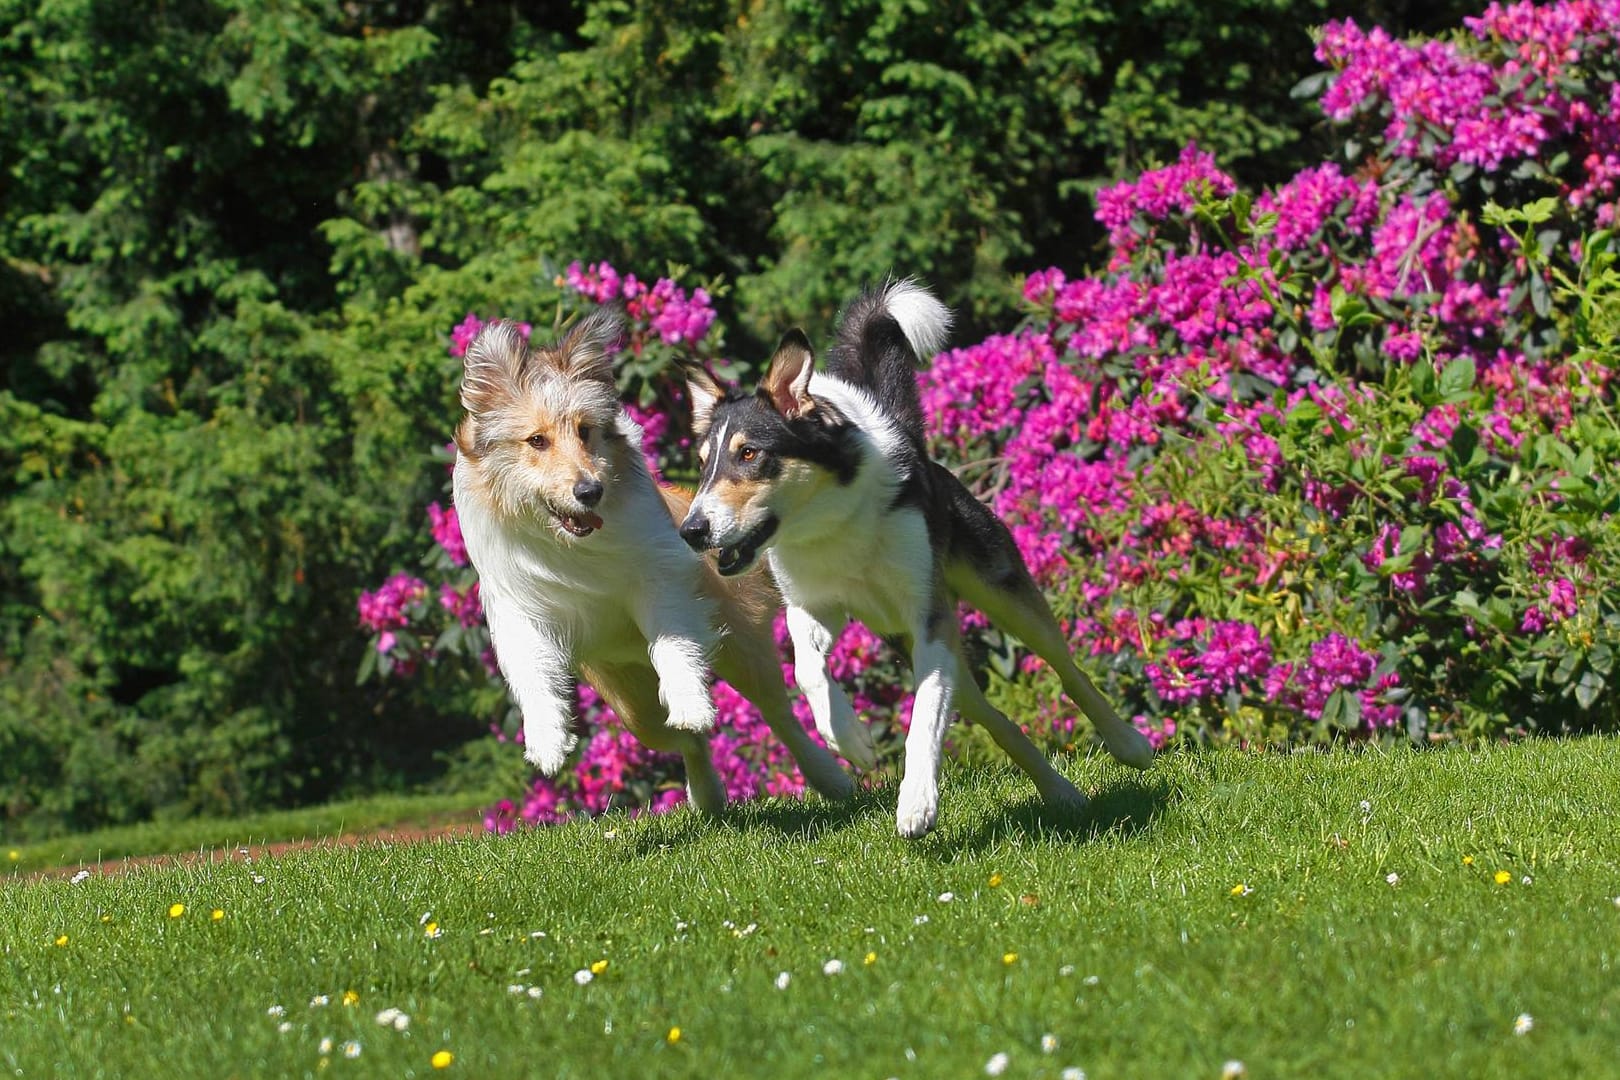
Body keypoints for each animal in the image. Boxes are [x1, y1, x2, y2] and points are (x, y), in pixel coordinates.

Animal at [450, 310, 855, 809]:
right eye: (537, 441)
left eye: (585, 431)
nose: (589, 491)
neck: (568, 544)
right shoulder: (515, 603)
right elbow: (531, 670)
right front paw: (546, 743)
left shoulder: (658, 575)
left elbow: (671, 640)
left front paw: (689, 700)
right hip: (633, 709)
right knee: (684, 741)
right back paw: (707, 796)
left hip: (742, 649)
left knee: (780, 715)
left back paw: (832, 777)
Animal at [677, 283, 1159, 841]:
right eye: (704, 464)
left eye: (750, 454)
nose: (691, 530)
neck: (831, 523)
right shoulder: (814, 607)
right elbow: (806, 667)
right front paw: (849, 738)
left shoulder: (929, 617)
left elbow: (924, 716)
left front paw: (916, 802)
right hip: (925, 649)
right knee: (997, 719)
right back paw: (1060, 793)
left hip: (1000, 595)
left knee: (1066, 668)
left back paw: (1128, 743)